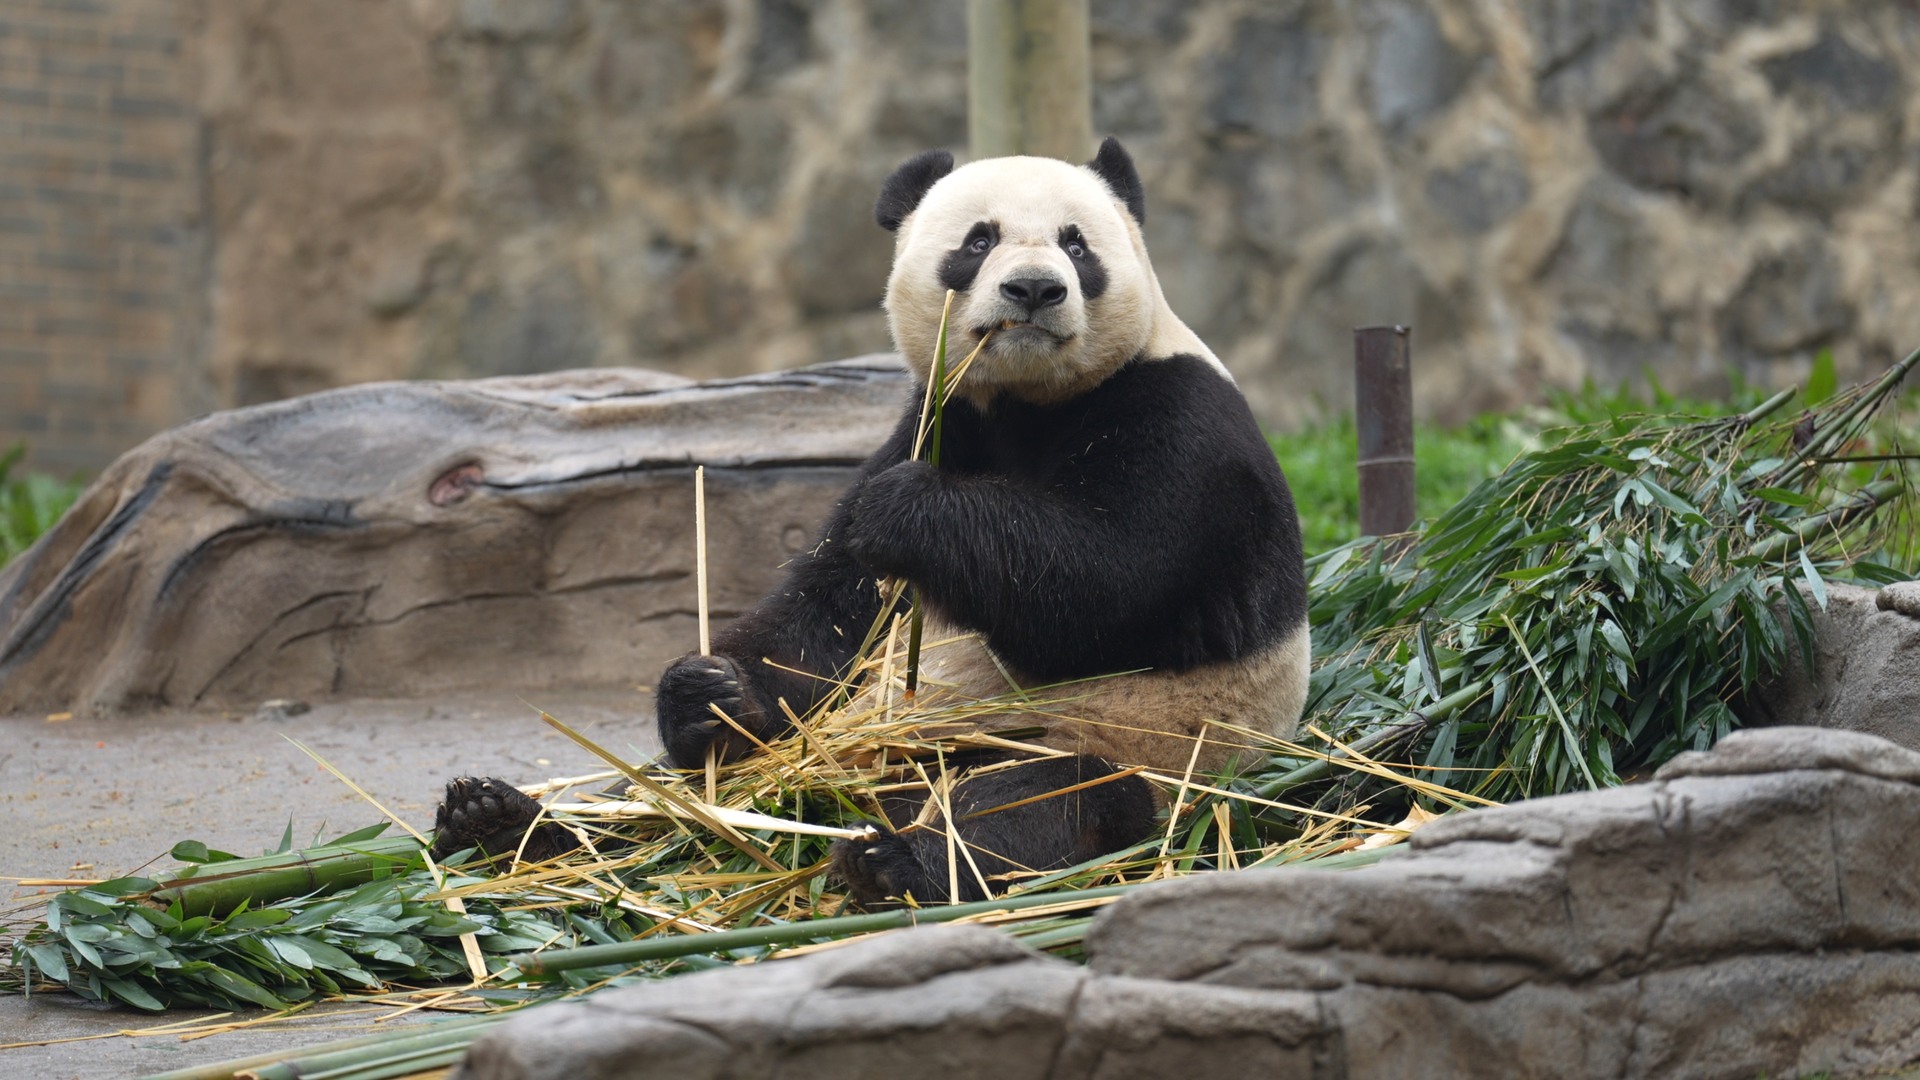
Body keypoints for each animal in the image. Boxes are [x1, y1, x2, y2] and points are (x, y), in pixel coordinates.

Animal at [432, 138, 1309, 908]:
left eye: (1077, 245)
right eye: (978, 240)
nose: (1034, 290)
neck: (1028, 401)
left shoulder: (1181, 424)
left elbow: (1107, 590)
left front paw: (912, 513)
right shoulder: (934, 417)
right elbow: (828, 611)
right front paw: (713, 694)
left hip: (1120, 746)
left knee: (1034, 807)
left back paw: (892, 863)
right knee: (648, 792)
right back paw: (507, 822)